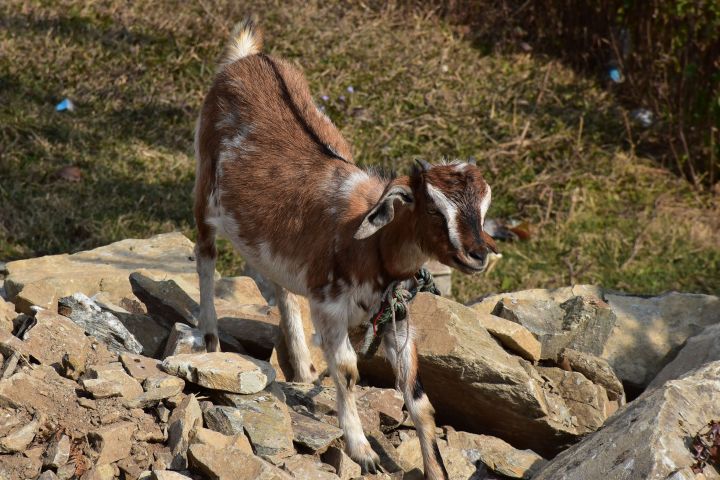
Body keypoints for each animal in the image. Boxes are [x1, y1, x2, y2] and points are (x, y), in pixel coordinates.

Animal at [191, 16, 496, 478]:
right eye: (433, 208)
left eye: (483, 207)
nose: (477, 254)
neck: (372, 247)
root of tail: (246, 58)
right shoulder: (330, 306)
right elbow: (350, 372)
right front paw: (362, 450)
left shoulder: (395, 316)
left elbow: (419, 399)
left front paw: (434, 467)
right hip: (205, 186)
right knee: (205, 257)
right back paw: (210, 337)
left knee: (280, 285)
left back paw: (302, 367)